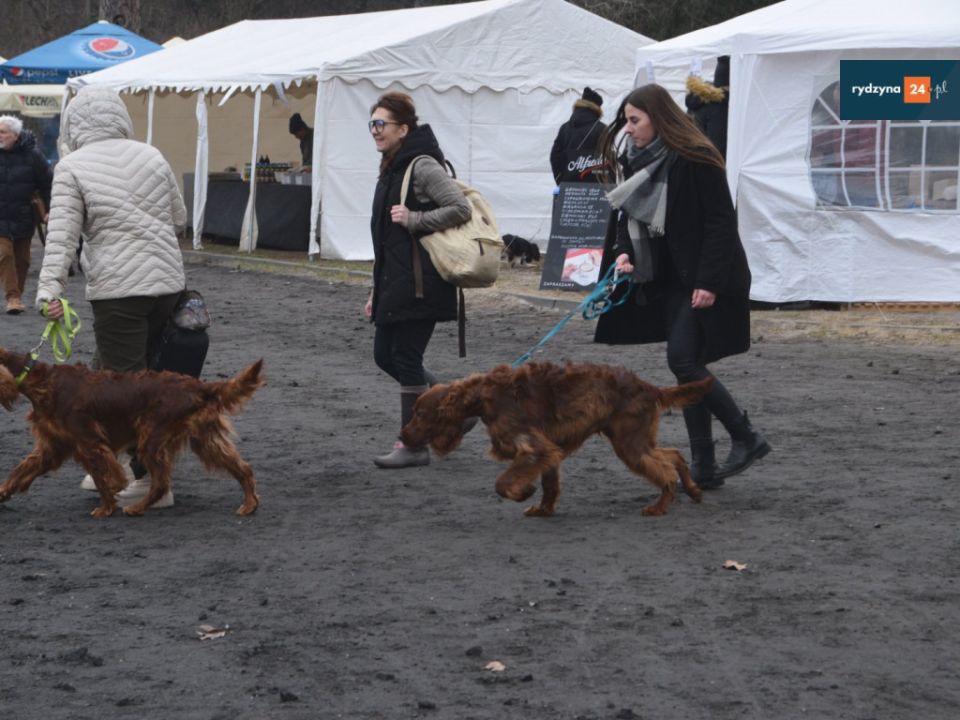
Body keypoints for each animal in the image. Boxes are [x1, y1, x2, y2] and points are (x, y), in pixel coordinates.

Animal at [0, 347, 264, 518]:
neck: (41, 382)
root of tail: (200, 386)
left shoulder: (90, 442)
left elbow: (104, 477)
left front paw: (106, 507)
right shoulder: (52, 447)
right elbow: (20, 470)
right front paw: (2, 493)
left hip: (151, 437)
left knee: (160, 484)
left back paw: (137, 508)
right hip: (204, 439)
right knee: (243, 468)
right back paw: (250, 503)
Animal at [401, 361, 713, 517]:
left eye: (419, 413)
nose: (401, 435)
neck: (483, 396)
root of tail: (649, 387)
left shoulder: (534, 448)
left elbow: (502, 483)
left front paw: (523, 492)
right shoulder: (549, 453)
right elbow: (549, 486)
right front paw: (542, 508)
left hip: (630, 444)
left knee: (666, 470)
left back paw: (660, 507)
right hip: (635, 440)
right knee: (675, 456)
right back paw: (694, 490)